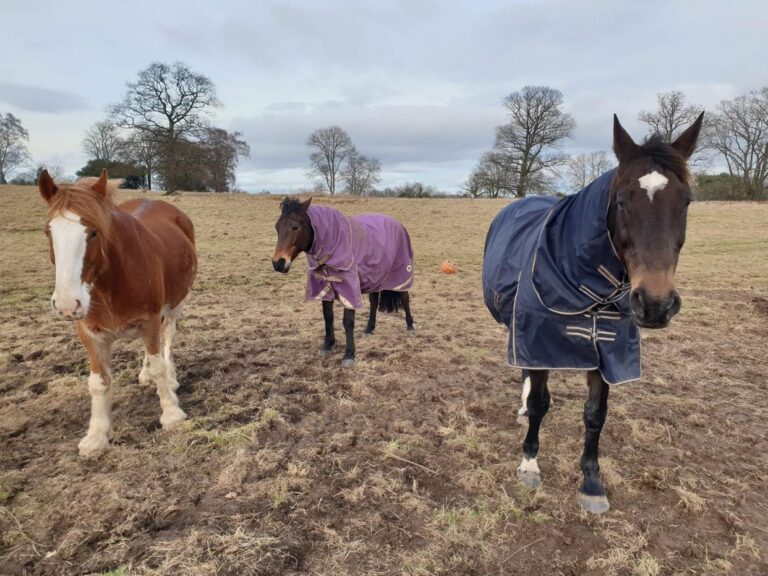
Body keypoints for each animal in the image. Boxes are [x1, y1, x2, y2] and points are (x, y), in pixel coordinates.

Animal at [38, 169, 197, 457]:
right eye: (48, 231)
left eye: (94, 233)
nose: (67, 304)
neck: (110, 283)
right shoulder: (89, 333)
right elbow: (99, 382)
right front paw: (97, 436)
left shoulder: (149, 321)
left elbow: (159, 365)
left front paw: (171, 414)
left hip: (175, 304)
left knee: (167, 338)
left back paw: (171, 377)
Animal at [272, 198, 415, 367]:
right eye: (277, 227)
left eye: (295, 227)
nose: (278, 263)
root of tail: (398, 224)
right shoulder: (325, 286)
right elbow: (328, 316)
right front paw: (328, 345)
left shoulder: (349, 288)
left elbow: (348, 321)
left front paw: (349, 355)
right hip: (375, 276)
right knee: (374, 302)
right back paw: (369, 329)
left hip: (401, 275)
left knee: (405, 298)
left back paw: (410, 327)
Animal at [482, 113, 704, 514]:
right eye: (621, 201)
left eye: (686, 201)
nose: (655, 303)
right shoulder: (538, 339)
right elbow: (539, 403)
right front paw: (529, 463)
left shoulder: (607, 351)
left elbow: (595, 414)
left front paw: (591, 481)